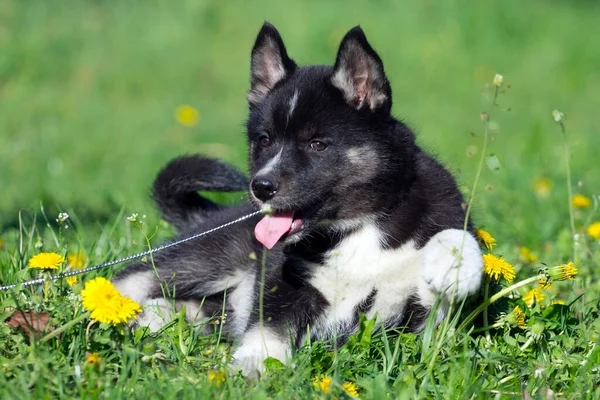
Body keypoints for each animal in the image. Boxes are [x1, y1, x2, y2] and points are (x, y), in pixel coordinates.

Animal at [113, 23, 482, 376]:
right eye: (264, 140)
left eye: (317, 144)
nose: (261, 187)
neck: (360, 226)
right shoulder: (284, 282)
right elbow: (268, 329)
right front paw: (254, 365)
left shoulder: (420, 316)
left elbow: (455, 240)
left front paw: (455, 265)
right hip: (208, 255)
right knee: (132, 279)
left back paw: (153, 317)